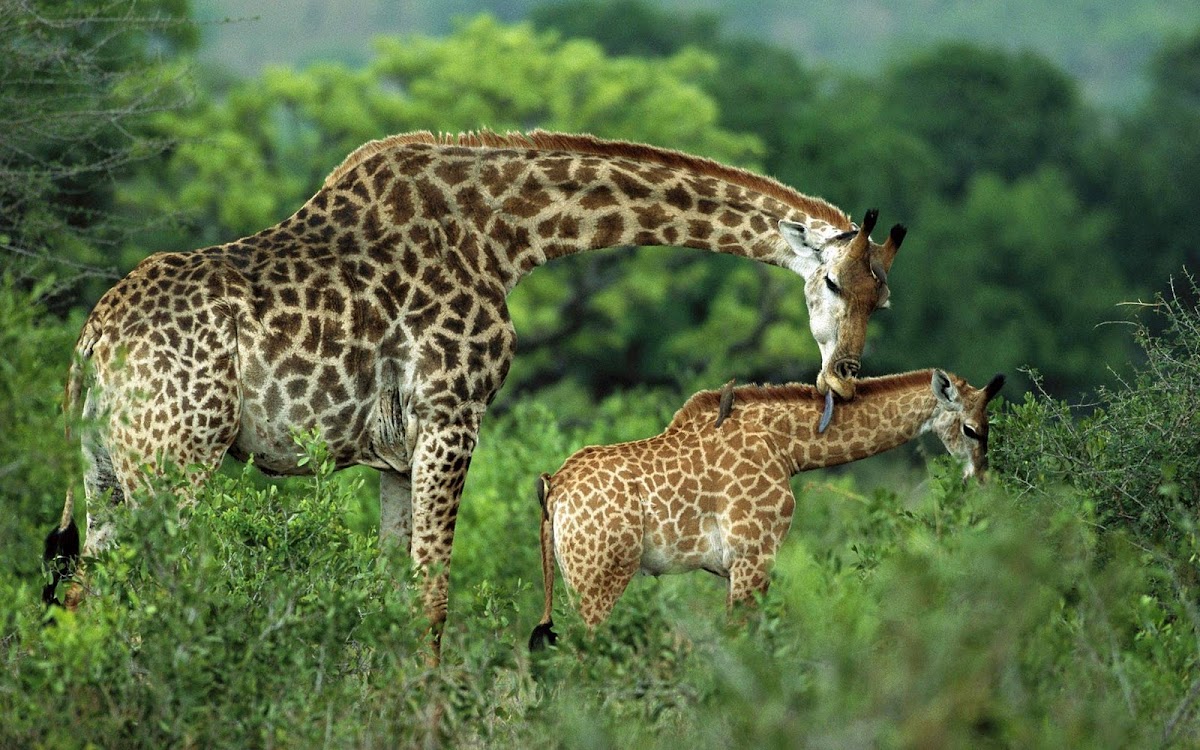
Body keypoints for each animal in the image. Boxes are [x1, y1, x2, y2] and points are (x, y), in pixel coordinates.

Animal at [40, 130, 906, 655]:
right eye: (833, 281)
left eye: (883, 299)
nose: (842, 376)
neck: (509, 236)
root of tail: (91, 346)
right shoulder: (452, 416)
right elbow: (434, 599)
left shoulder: (393, 454)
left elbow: (394, 592)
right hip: (175, 460)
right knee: (152, 592)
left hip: (107, 468)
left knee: (84, 591)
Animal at [528, 369, 1004, 647]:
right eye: (971, 429)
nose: (981, 480)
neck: (787, 447)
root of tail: (553, 487)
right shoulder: (753, 554)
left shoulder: (733, 567)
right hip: (600, 576)